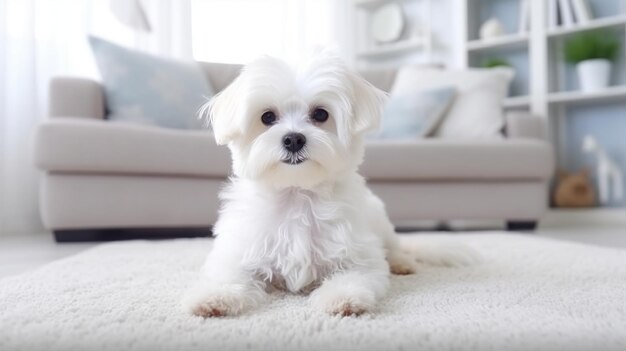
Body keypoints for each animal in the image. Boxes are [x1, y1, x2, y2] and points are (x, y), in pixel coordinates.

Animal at [180, 52, 478, 320]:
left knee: (394, 248)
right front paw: (213, 298)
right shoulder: (242, 249)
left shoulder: (358, 253)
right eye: (267, 117)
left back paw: (402, 263)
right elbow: (229, 275)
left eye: (321, 114)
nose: (293, 139)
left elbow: (356, 275)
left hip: (380, 221)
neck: (297, 193)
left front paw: (343, 298)